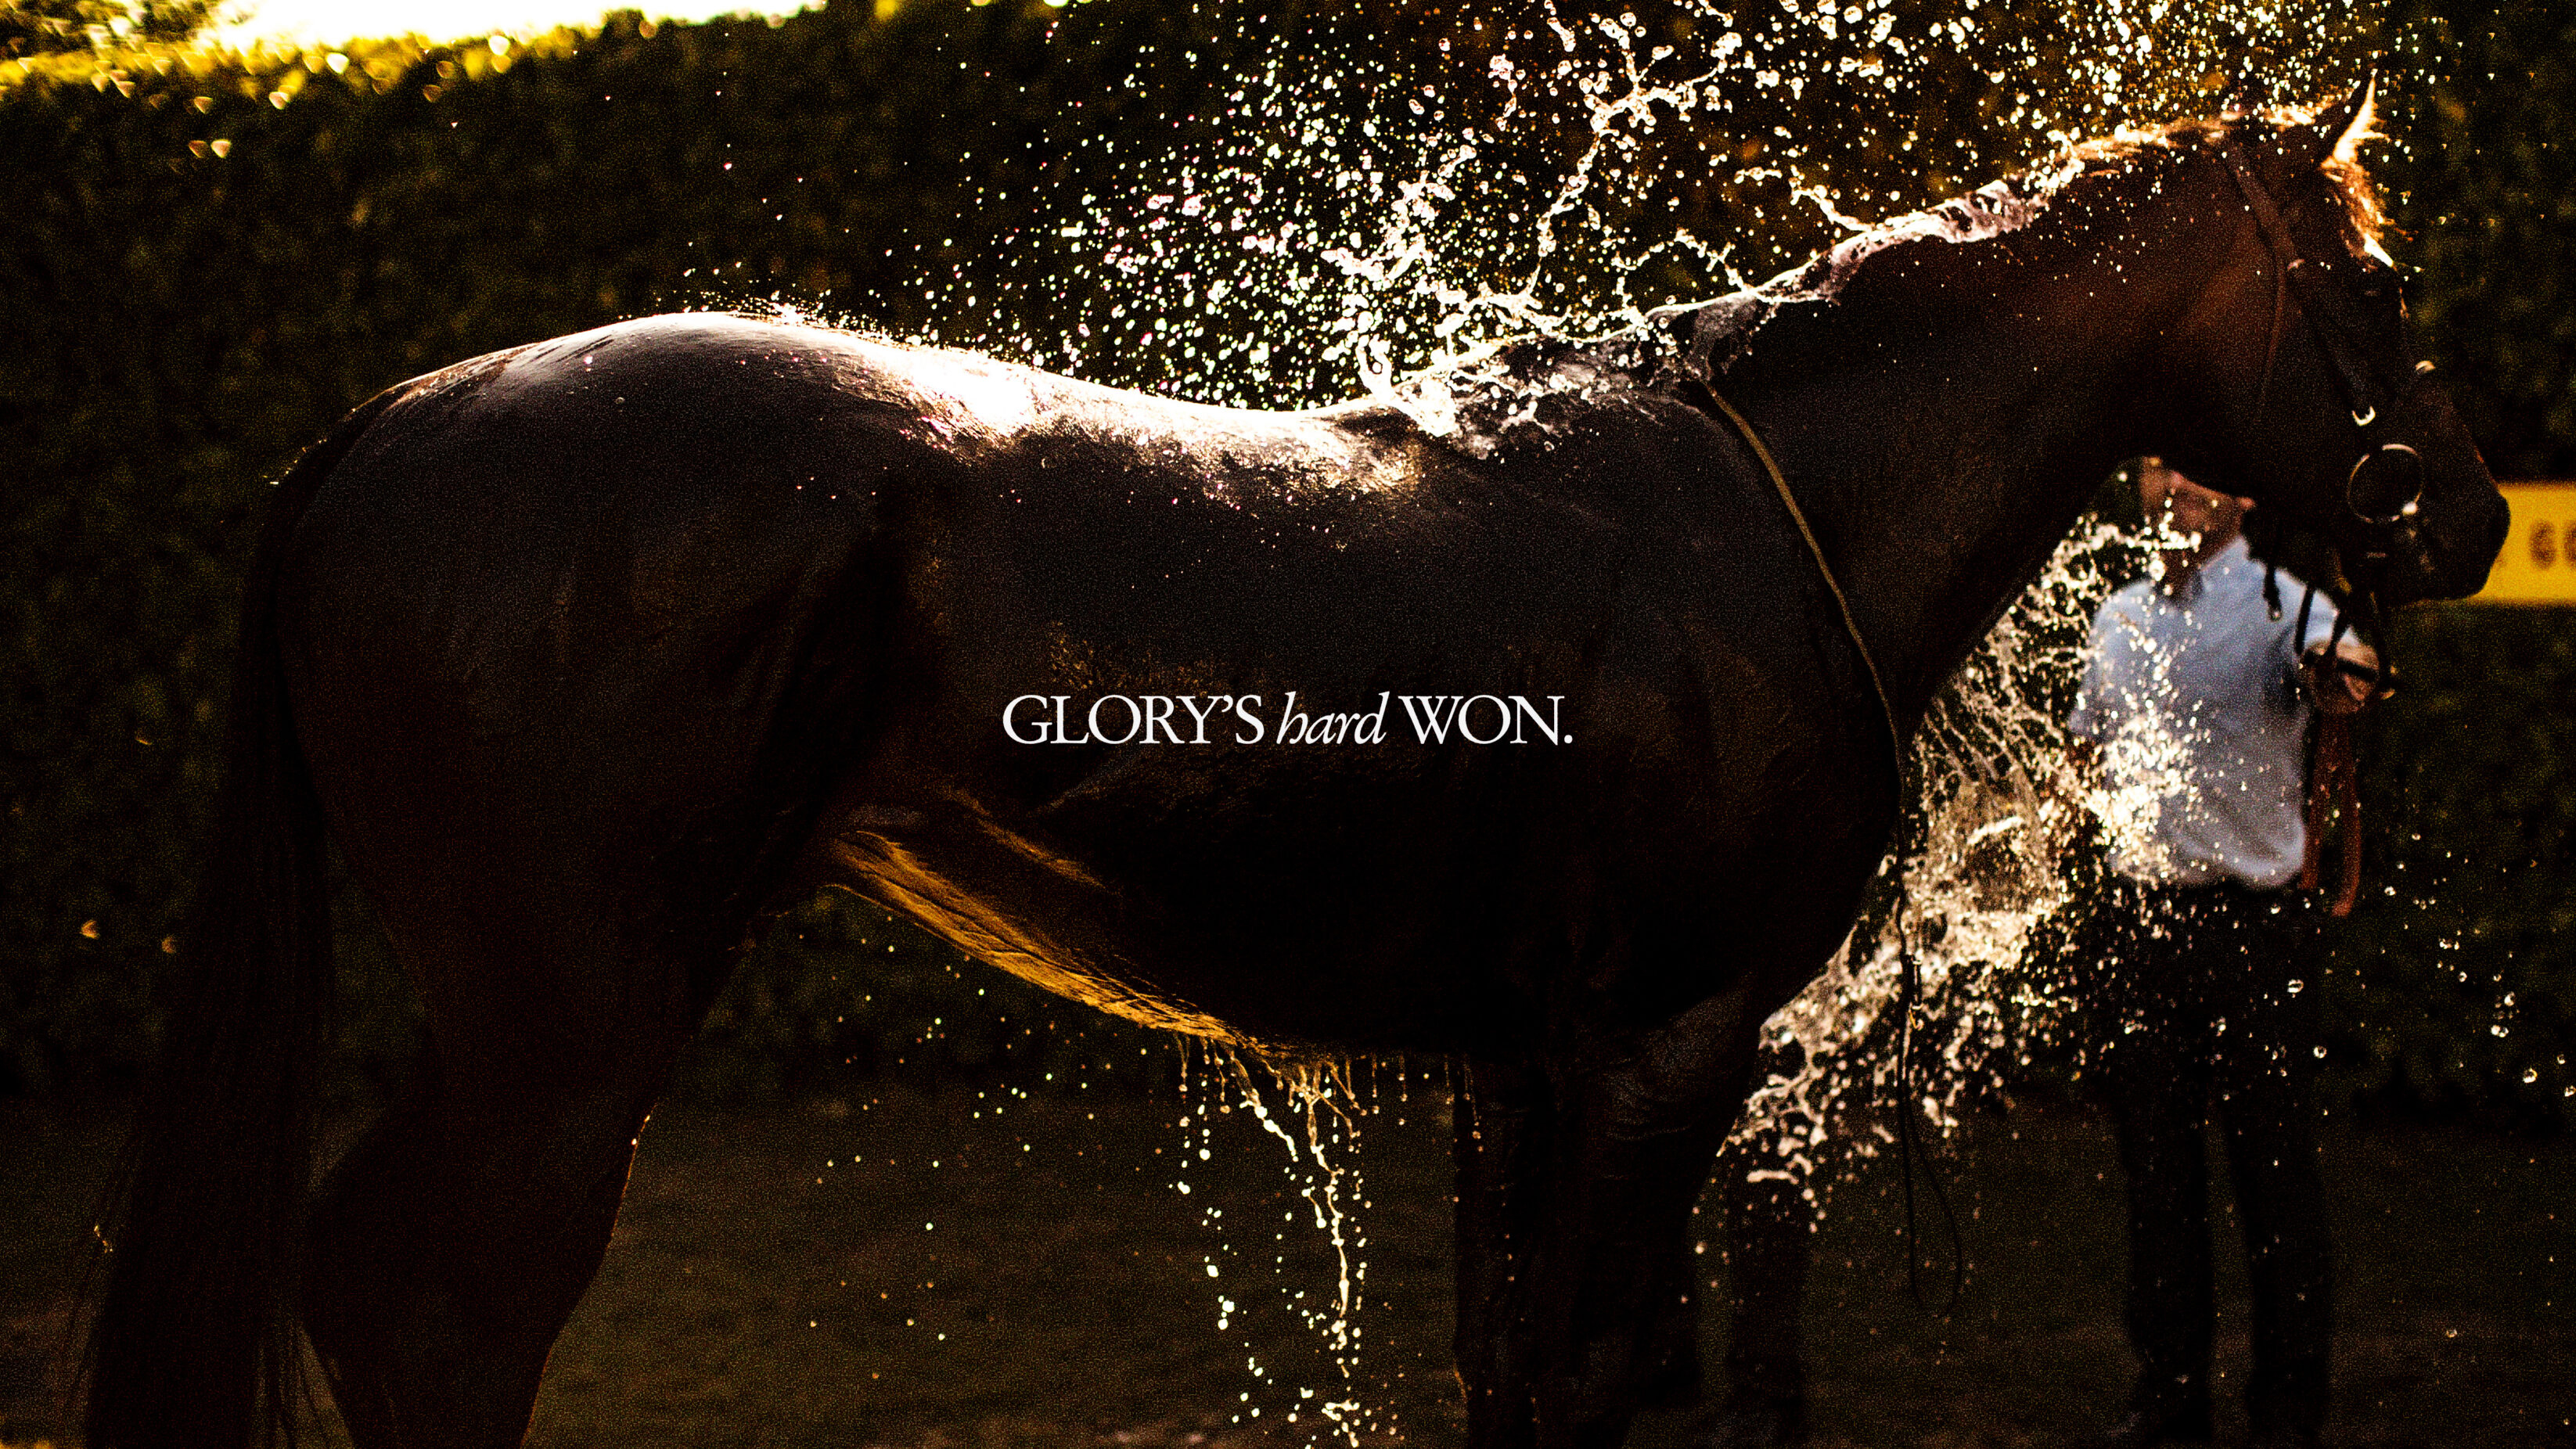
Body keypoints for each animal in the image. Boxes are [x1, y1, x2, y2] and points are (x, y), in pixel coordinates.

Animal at [87, 85, 2503, 1449]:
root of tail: (393, 421)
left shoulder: (1521, 1060)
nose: (2469, 515)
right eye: (2376, 280)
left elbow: (1512, 1373)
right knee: (430, 1302)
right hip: (564, 1028)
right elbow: (1591, 1375)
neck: (1757, 505)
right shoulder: (1663, 1041)